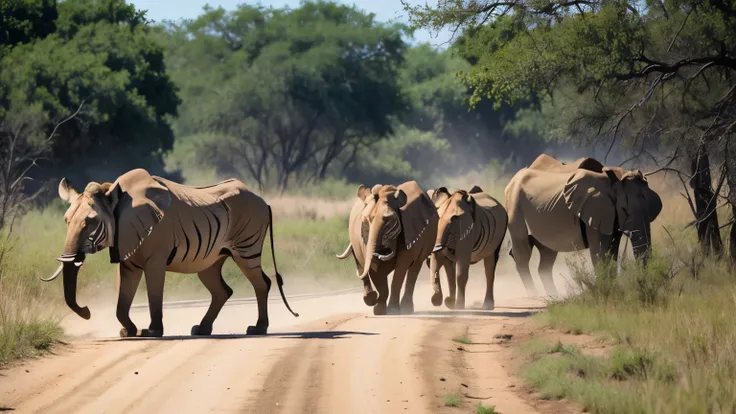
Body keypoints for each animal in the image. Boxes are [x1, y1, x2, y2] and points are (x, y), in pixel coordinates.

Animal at [39, 168, 300, 336]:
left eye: (91, 222)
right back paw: (201, 330)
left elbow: (154, 283)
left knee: (259, 279)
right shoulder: (126, 241)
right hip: (215, 251)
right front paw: (128, 331)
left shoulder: (156, 244)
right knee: (219, 285)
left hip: (248, 234)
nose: (87, 312)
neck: (114, 192)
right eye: (66, 221)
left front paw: (151, 332)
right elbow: (125, 286)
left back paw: (257, 329)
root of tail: (264, 201)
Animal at [338, 180, 440, 314]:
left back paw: (406, 309)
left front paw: (392, 310)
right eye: (364, 220)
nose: (383, 250)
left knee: (414, 269)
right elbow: (375, 269)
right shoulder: (365, 239)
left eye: (390, 222)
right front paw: (379, 310)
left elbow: (401, 267)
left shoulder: (408, 231)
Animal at [506, 154, 660, 296]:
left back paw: (553, 297)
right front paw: (606, 292)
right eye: (624, 210)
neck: (613, 178)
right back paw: (535, 296)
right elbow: (600, 252)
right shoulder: (595, 213)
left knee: (547, 254)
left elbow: (612, 252)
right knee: (523, 253)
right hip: (514, 207)